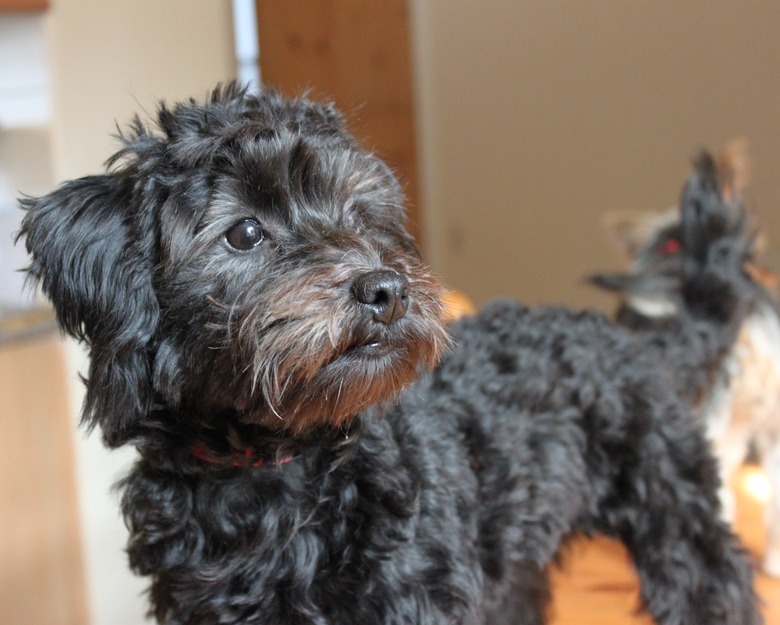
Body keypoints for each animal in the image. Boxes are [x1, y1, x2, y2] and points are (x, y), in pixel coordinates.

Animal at [16, 85, 760, 624]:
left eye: (359, 215)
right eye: (244, 233)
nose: (385, 288)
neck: (274, 471)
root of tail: (630, 339)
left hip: (677, 522)